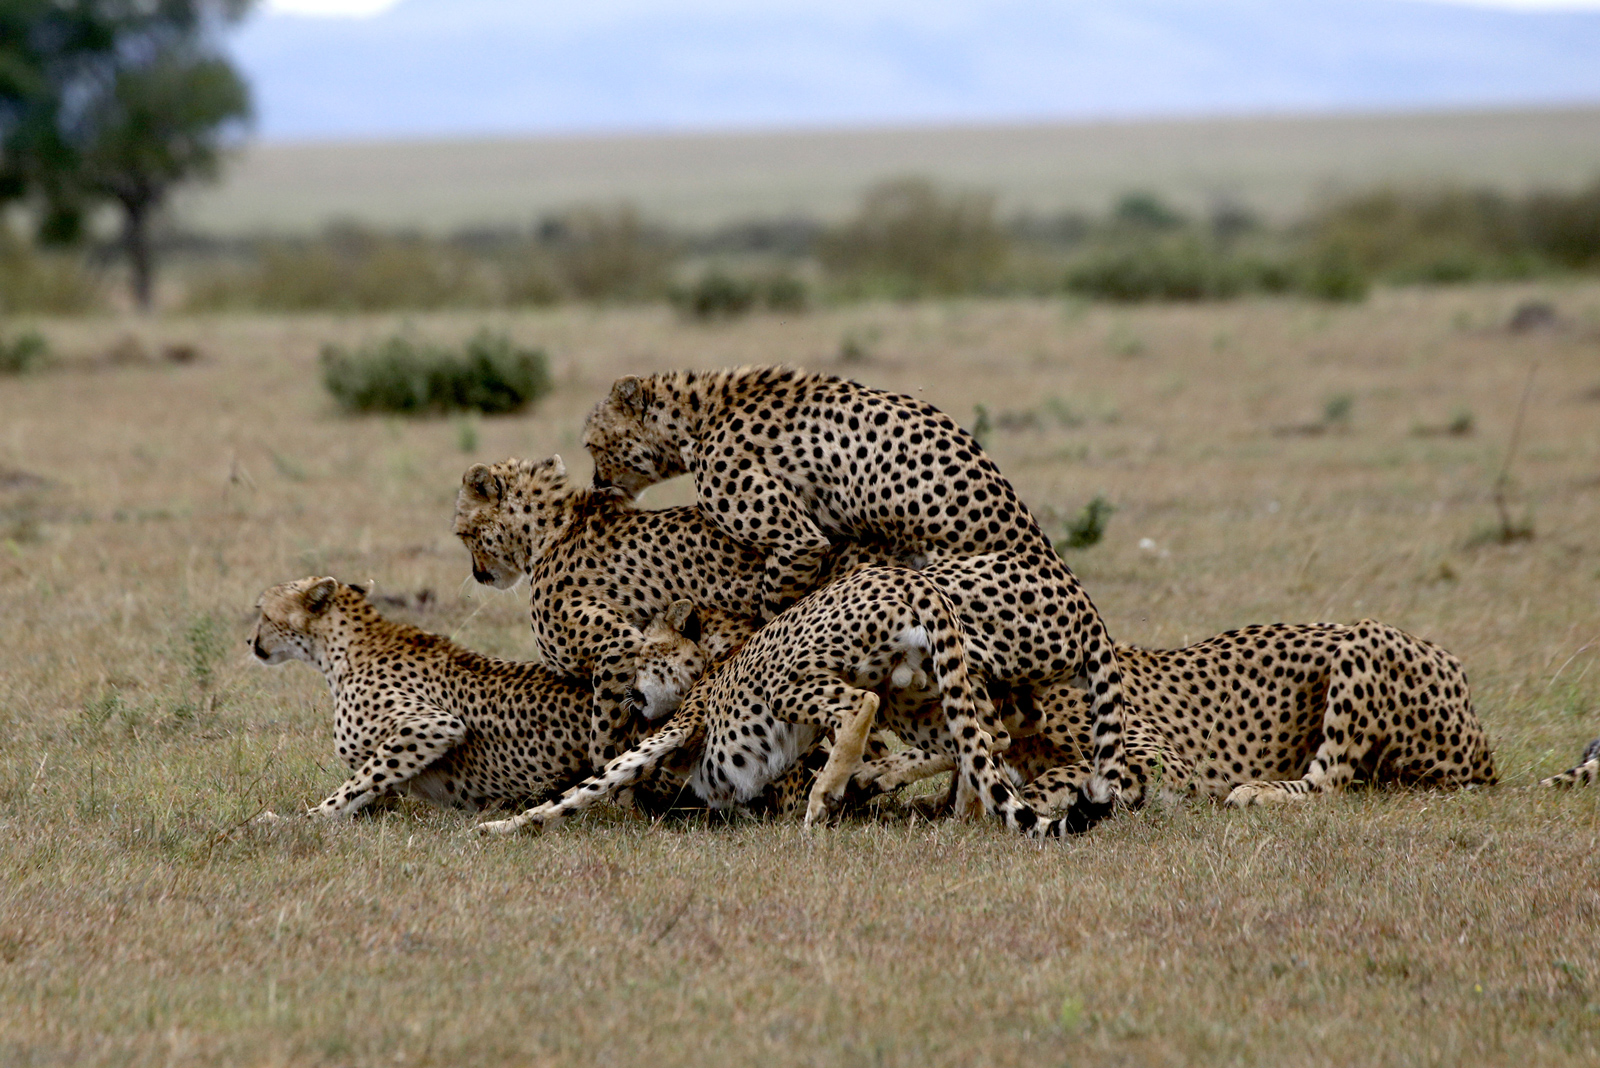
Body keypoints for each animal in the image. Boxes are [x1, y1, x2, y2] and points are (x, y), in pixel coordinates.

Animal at [246, 575, 598, 818]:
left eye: (263, 614)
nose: (250, 640)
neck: (342, 647)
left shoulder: (432, 725)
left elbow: (355, 785)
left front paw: (299, 818)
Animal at [582, 367, 1132, 831]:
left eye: (591, 443)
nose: (597, 483)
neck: (699, 412)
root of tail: (1086, 609)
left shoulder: (798, 540)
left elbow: (773, 610)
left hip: (936, 602)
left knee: (984, 725)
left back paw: (878, 778)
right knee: (1010, 722)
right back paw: (940, 801)